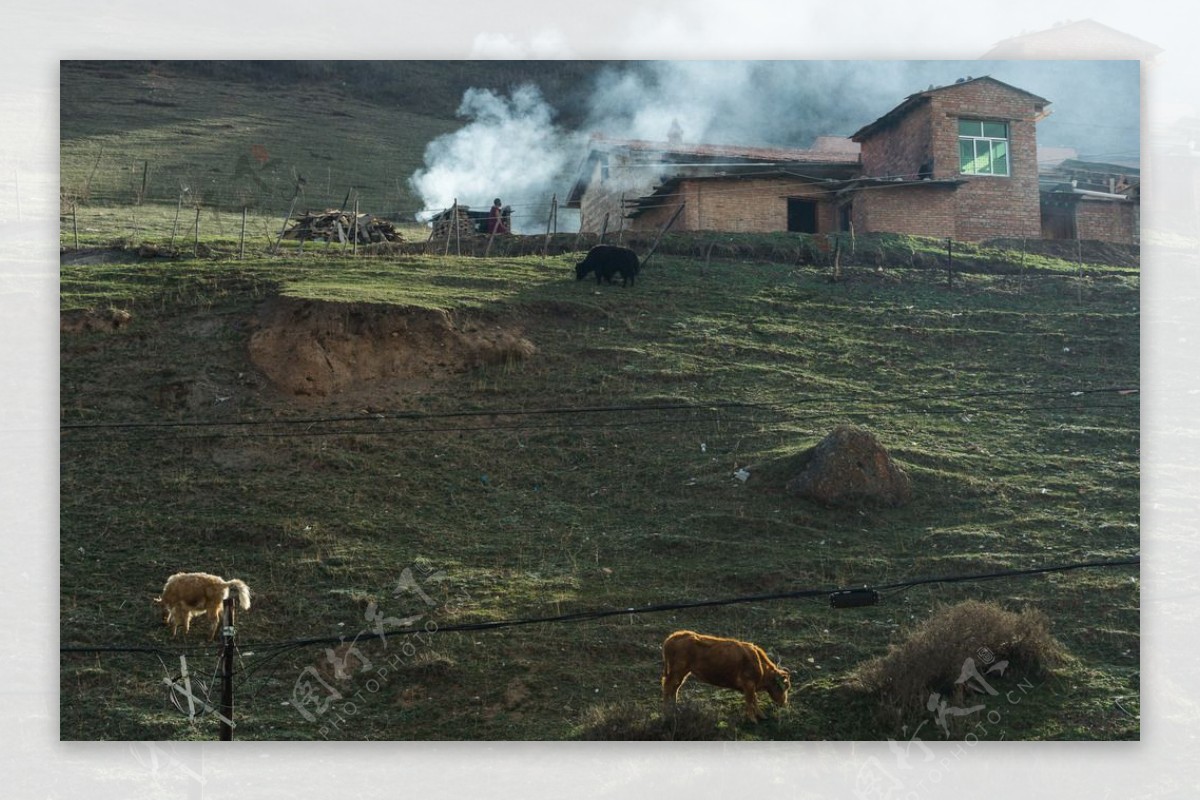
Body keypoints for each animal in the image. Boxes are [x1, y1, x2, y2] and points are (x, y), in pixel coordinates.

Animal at [662, 628, 792, 724]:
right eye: (784, 687)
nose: (784, 703)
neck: (759, 662)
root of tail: (672, 637)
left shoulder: (751, 687)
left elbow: (754, 700)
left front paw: (762, 716)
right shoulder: (749, 685)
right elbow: (750, 701)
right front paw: (753, 719)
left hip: (682, 673)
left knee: (675, 688)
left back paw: (675, 709)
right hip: (677, 672)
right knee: (668, 687)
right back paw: (667, 712)